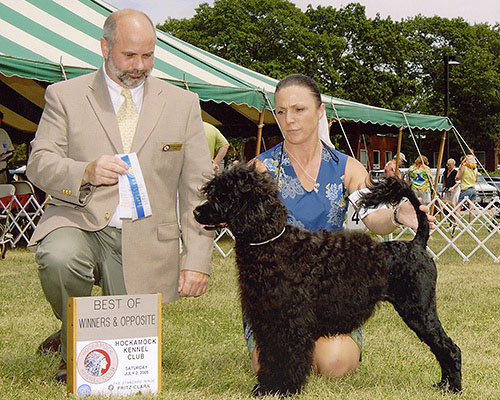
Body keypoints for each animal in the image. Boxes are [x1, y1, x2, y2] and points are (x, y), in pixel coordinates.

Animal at [193, 163, 462, 396]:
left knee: (450, 348)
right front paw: (267, 387)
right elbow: (272, 356)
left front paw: (285, 389)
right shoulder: (267, 320)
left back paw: (454, 388)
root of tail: (416, 244)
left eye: (225, 195)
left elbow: (288, 357)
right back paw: (444, 385)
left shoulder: (291, 322)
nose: (196, 211)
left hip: (419, 311)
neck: (271, 245)